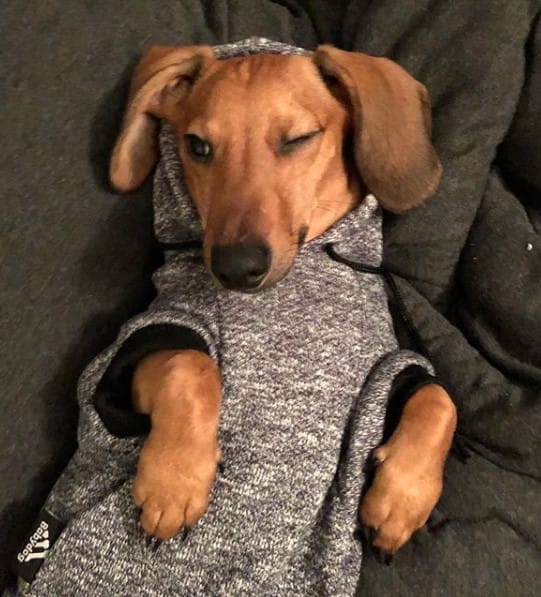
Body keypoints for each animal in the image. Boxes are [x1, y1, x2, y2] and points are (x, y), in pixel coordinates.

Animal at [109, 42, 456, 560]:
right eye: (198, 146)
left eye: (299, 139)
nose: (235, 268)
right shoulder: (152, 335)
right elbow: (193, 365)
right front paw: (173, 480)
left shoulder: (386, 370)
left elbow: (438, 397)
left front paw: (400, 499)